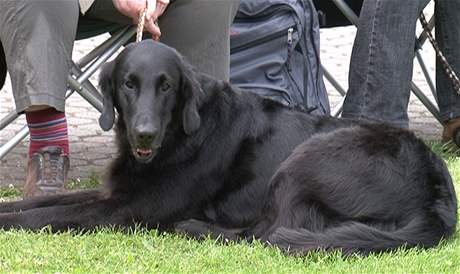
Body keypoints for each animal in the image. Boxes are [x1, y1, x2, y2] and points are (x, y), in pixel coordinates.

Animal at [0, 41, 454, 256]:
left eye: (166, 86)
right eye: (129, 84)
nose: (144, 134)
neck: (180, 138)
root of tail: (437, 198)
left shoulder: (127, 210)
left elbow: (48, 216)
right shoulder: (115, 192)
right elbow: (34, 204)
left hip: (306, 160)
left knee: (267, 234)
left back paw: (194, 227)